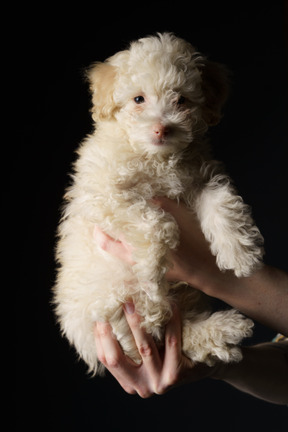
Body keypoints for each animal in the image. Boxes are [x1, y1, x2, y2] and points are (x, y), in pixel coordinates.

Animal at [53, 33, 264, 374]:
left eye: (181, 100)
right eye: (138, 100)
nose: (162, 128)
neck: (157, 158)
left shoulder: (199, 178)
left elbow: (222, 201)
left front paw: (240, 253)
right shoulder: (105, 195)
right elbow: (156, 224)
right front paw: (152, 270)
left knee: (181, 333)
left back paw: (224, 329)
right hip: (114, 304)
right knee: (159, 326)